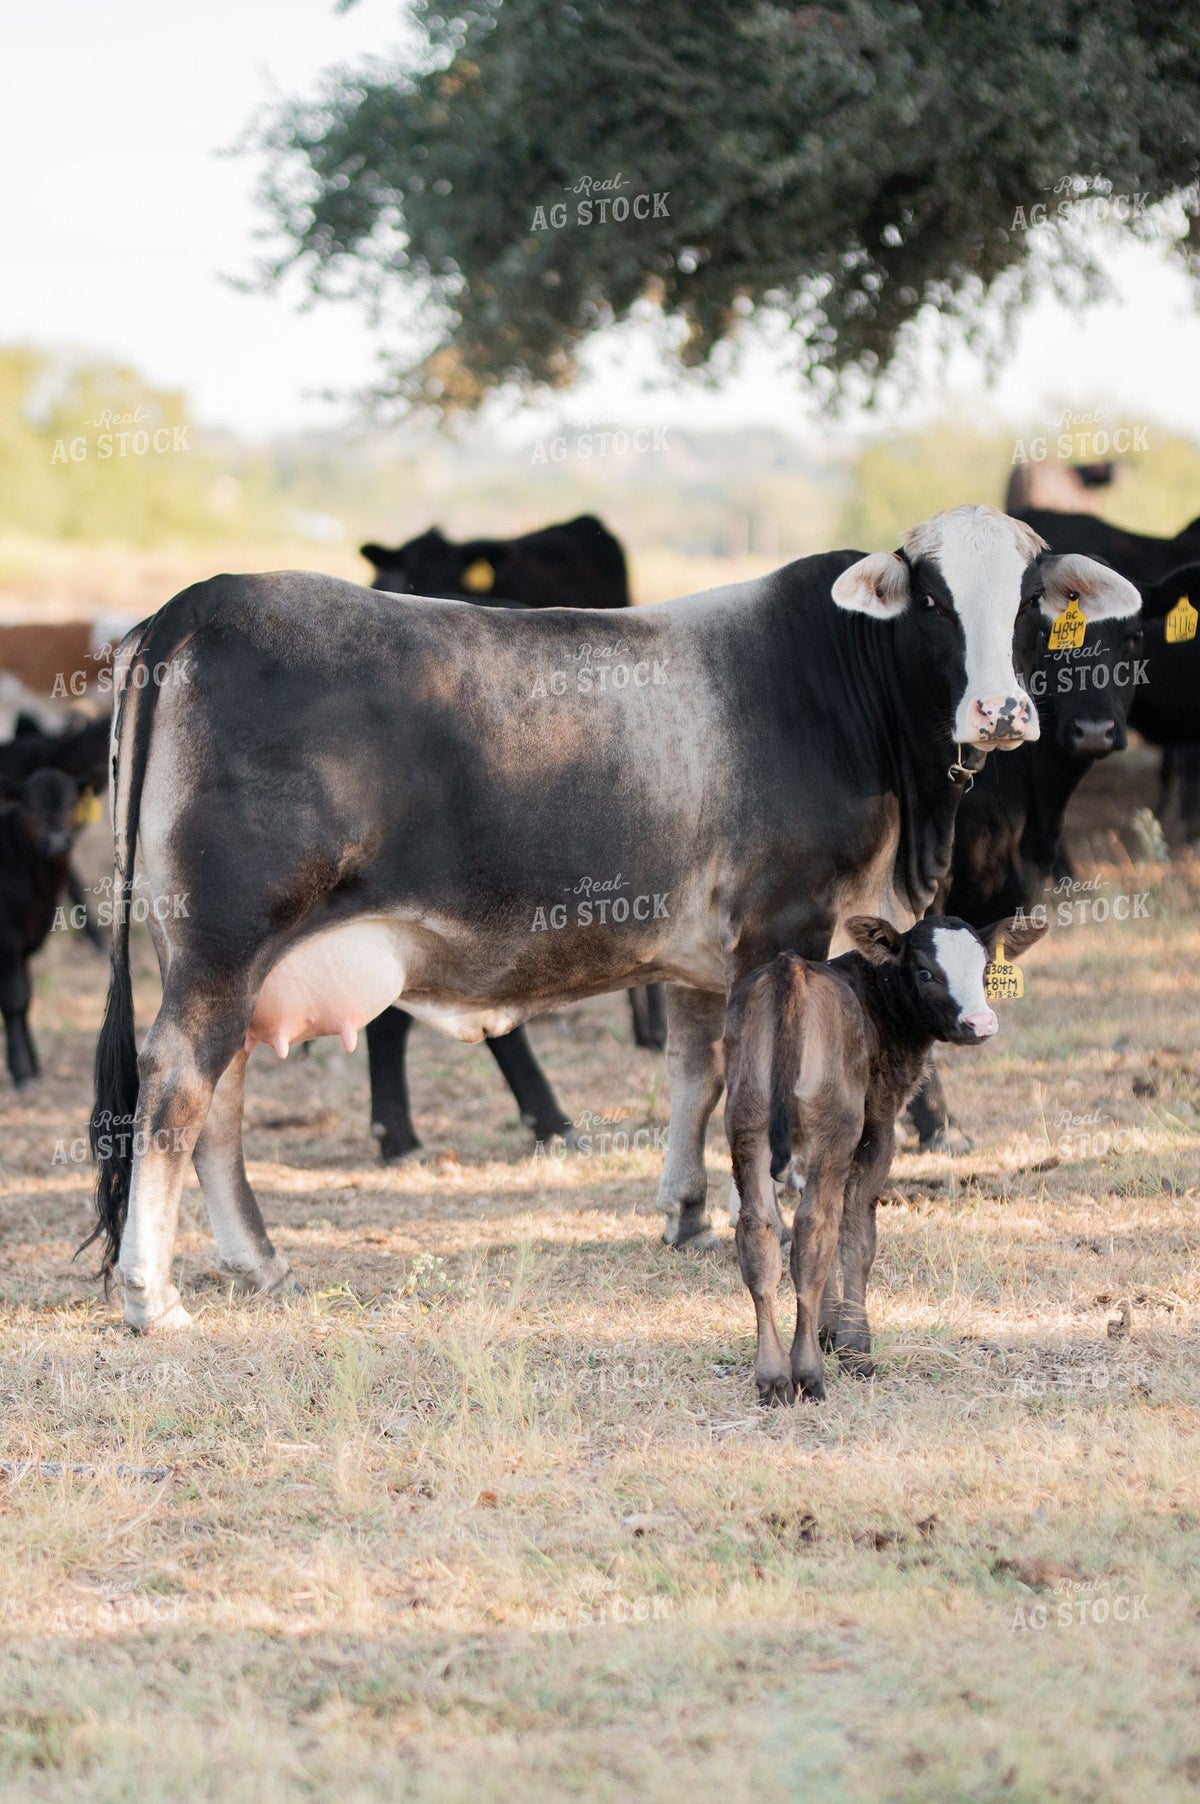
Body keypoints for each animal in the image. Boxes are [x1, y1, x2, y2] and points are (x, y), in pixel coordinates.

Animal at [0, 768, 87, 1088]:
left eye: (72, 803)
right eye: (31, 806)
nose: (57, 841)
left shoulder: (26, 943)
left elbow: (26, 997)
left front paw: (32, 1066)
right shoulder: (7, 940)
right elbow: (14, 998)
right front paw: (22, 1071)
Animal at [725, 912, 1047, 1403]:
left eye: (985, 967)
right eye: (925, 972)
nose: (980, 1021)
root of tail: (789, 971)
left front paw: (828, 1329)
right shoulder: (876, 1127)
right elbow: (857, 1235)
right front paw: (854, 1347)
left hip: (747, 1120)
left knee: (760, 1231)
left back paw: (773, 1377)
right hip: (836, 1123)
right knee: (816, 1228)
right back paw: (808, 1375)